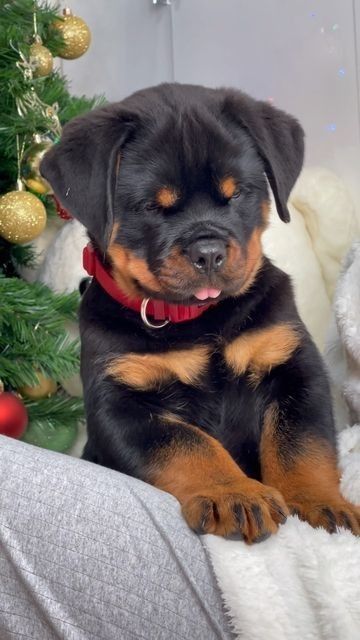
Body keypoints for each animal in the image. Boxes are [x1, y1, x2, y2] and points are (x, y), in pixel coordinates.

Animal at [40, 82, 358, 544]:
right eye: (152, 207)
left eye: (237, 193)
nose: (208, 252)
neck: (199, 320)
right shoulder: (120, 406)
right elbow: (190, 446)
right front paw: (234, 493)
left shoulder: (293, 369)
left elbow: (302, 444)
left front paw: (321, 504)